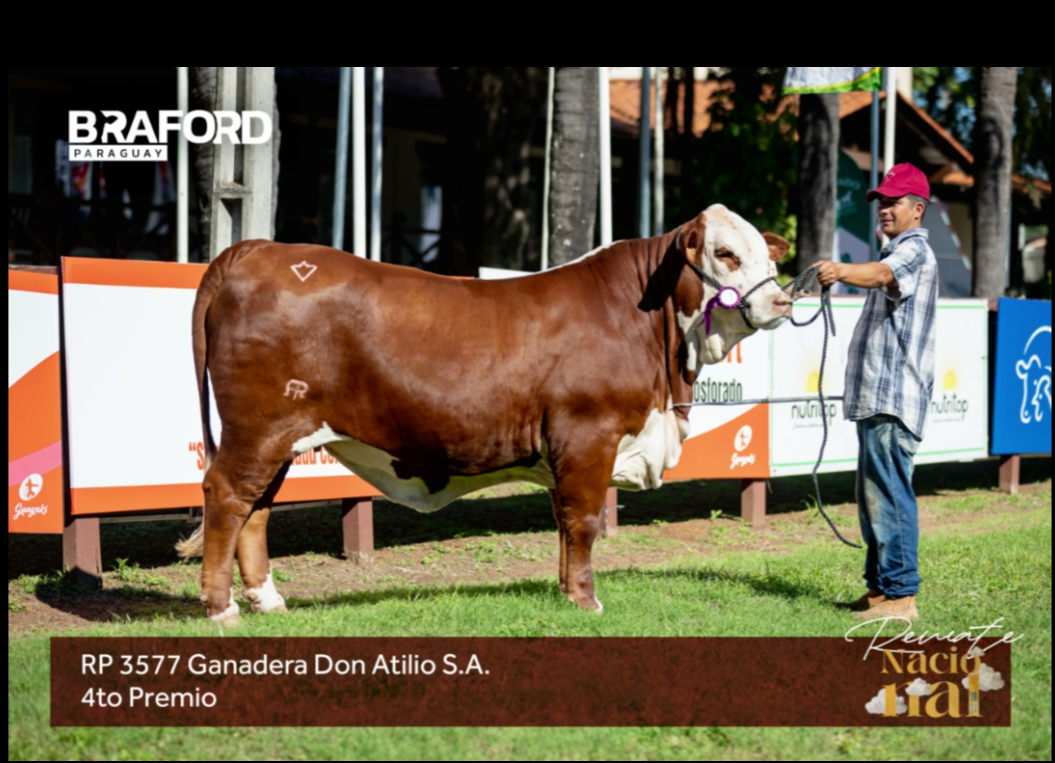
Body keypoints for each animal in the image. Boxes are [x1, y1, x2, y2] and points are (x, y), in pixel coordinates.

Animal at [177, 205, 789, 624]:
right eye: (726, 254)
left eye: (768, 256)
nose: (782, 301)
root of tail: (260, 248)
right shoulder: (587, 434)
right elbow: (585, 522)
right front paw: (587, 601)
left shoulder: (563, 449)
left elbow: (564, 522)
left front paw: (566, 593)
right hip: (259, 427)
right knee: (227, 497)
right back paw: (221, 609)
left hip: (281, 435)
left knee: (257, 509)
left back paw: (268, 600)